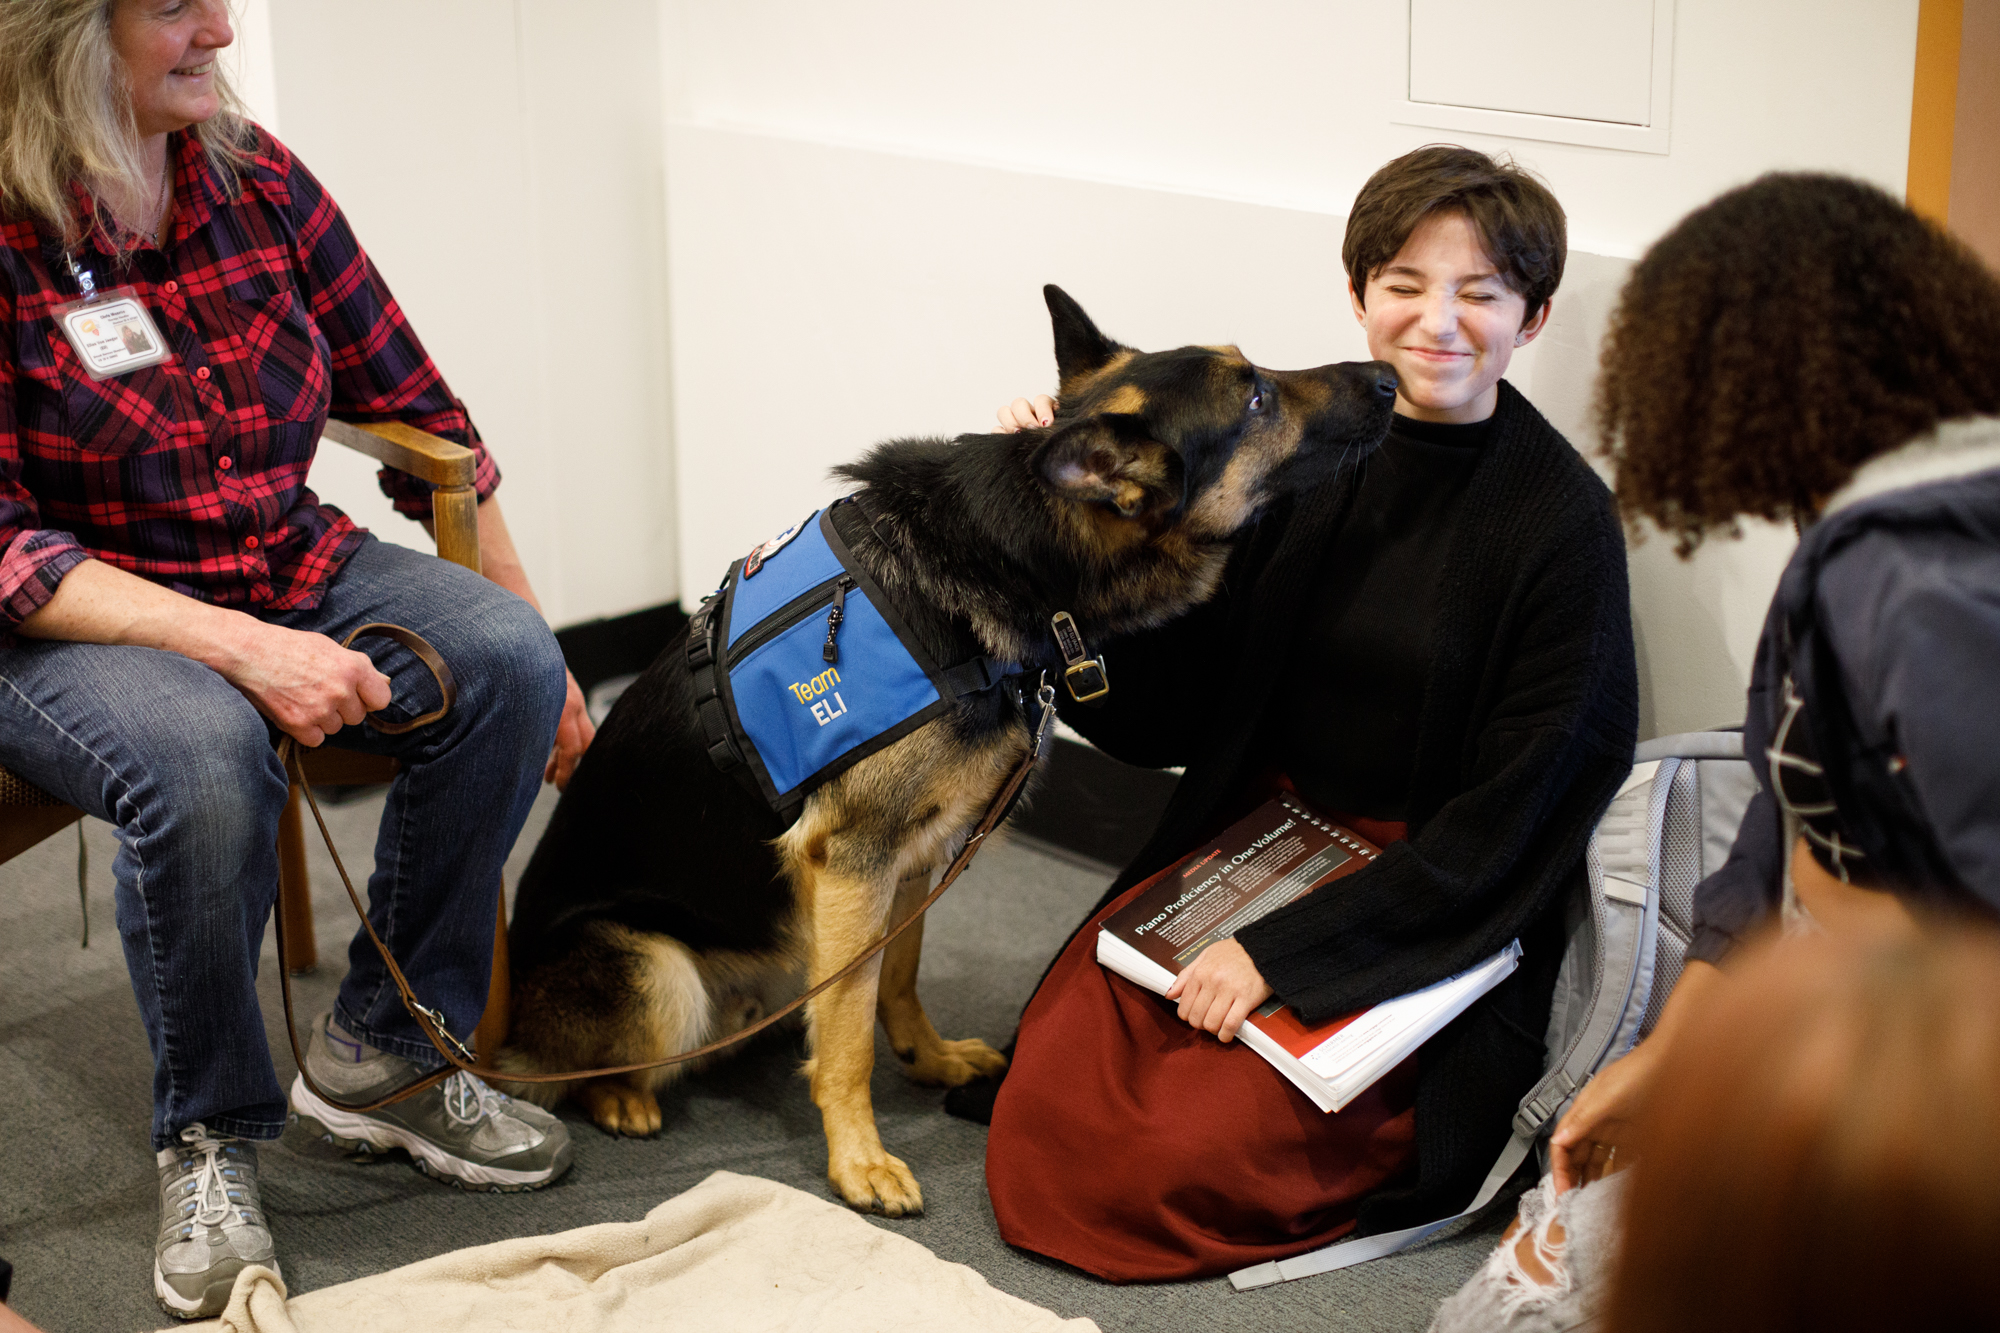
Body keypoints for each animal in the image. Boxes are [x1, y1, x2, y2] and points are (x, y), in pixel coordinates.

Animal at [500, 286, 1392, 1208]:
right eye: (1255, 397)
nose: (1388, 378)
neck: (1008, 557)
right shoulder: (856, 864)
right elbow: (848, 1032)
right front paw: (857, 1156)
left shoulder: (917, 860)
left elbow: (894, 980)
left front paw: (925, 1060)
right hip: (661, 975)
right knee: (574, 1068)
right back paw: (618, 1095)